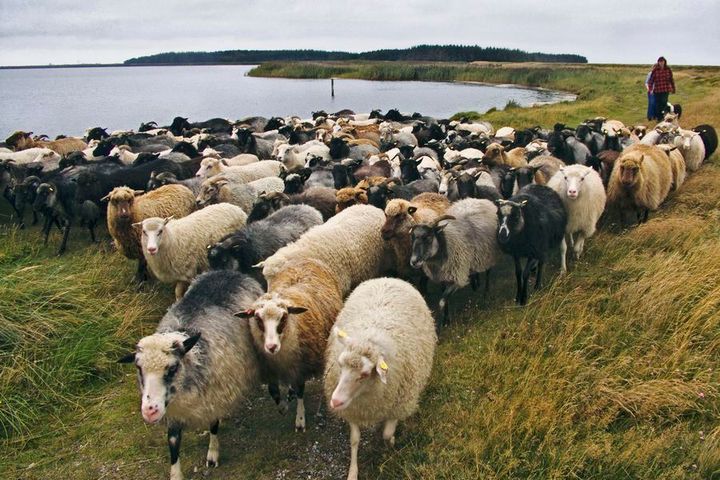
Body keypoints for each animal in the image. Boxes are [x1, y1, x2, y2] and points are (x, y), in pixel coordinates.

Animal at [116, 270, 262, 480]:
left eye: (173, 368)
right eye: (138, 368)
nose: (149, 411)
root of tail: (227, 272)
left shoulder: (215, 395)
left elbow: (213, 425)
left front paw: (212, 455)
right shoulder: (173, 412)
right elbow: (173, 442)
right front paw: (176, 474)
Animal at [236, 260, 344, 434]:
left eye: (284, 317)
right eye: (257, 319)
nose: (271, 346)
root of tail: (306, 259)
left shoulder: (301, 366)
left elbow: (300, 390)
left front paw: (300, 420)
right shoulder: (270, 369)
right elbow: (273, 391)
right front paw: (283, 407)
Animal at [324, 276, 436, 480]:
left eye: (365, 374)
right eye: (340, 364)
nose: (335, 401)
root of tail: (388, 278)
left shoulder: (400, 404)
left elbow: (387, 433)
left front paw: (390, 443)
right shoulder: (353, 409)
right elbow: (354, 440)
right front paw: (353, 472)